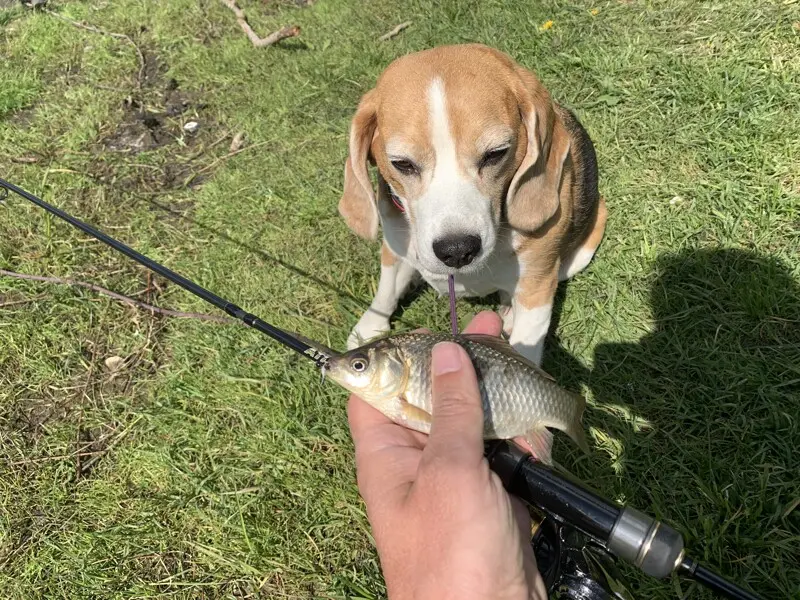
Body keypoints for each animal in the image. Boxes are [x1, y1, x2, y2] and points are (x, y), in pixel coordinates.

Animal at [338, 43, 608, 366]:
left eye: (496, 153)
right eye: (401, 164)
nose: (457, 250)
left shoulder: (537, 289)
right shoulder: (394, 244)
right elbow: (386, 289)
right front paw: (369, 327)